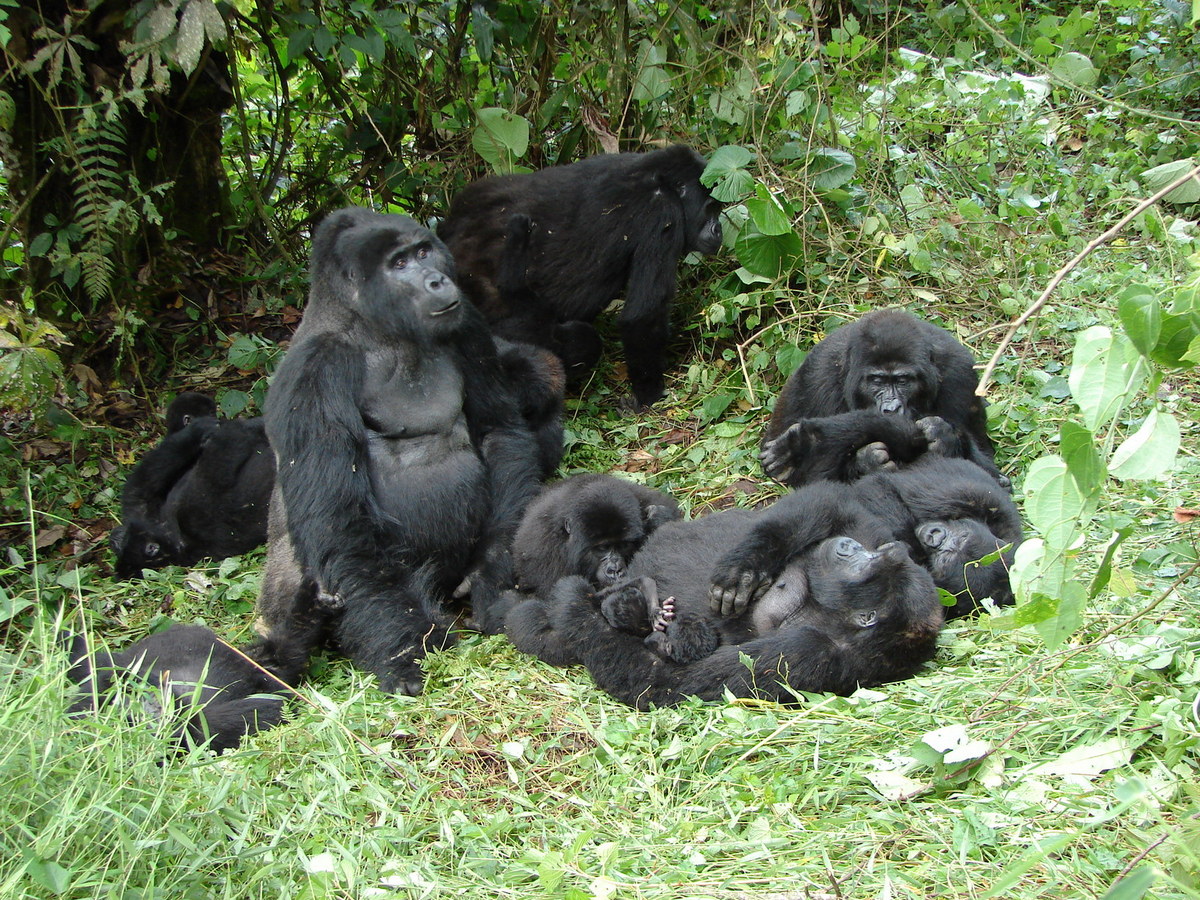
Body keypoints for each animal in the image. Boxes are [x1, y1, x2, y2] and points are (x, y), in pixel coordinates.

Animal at [255, 206, 542, 696]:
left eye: (424, 252)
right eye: (400, 264)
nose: (436, 281)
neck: (375, 325)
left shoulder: (466, 321)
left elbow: (498, 432)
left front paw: (491, 580)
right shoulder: (314, 369)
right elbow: (337, 521)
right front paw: (403, 653)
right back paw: (288, 642)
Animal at [439, 145, 720, 408]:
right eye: (710, 209)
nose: (719, 229)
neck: (659, 177)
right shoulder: (662, 212)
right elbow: (644, 316)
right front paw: (648, 395)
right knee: (579, 342)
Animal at [758, 314, 1003, 489]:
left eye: (903, 380)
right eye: (876, 380)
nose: (891, 408)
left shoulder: (960, 373)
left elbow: (989, 467)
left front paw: (943, 435)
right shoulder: (820, 374)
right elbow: (816, 478)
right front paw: (868, 462)